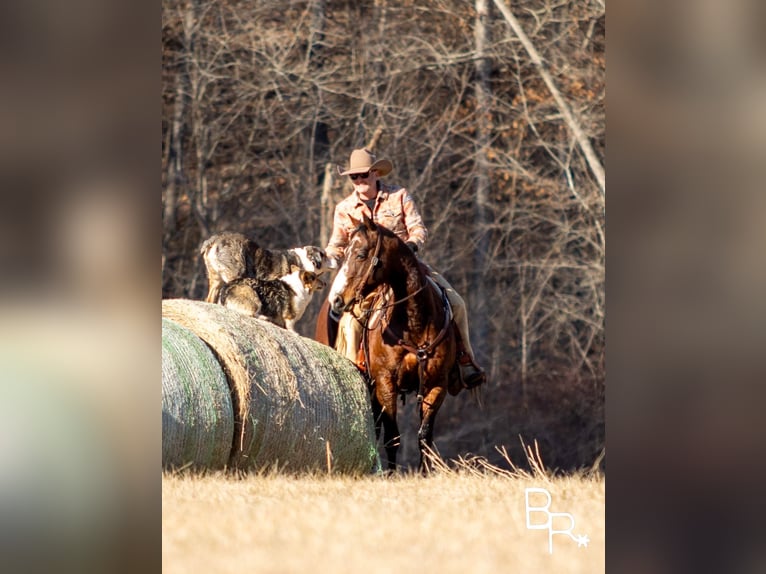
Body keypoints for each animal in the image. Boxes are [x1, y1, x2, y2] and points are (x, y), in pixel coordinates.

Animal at [200, 233, 334, 308]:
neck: (304, 260)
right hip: (236, 273)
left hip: (215, 279)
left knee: (210, 298)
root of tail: (216, 239)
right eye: (324, 255)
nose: (336, 258)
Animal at [320, 215, 464, 472]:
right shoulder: (385, 383)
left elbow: (424, 436)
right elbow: (392, 437)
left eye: (361, 254)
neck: (416, 322)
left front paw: (424, 473)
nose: (337, 300)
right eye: (345, 252)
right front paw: (390, 474)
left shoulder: (437, 384)